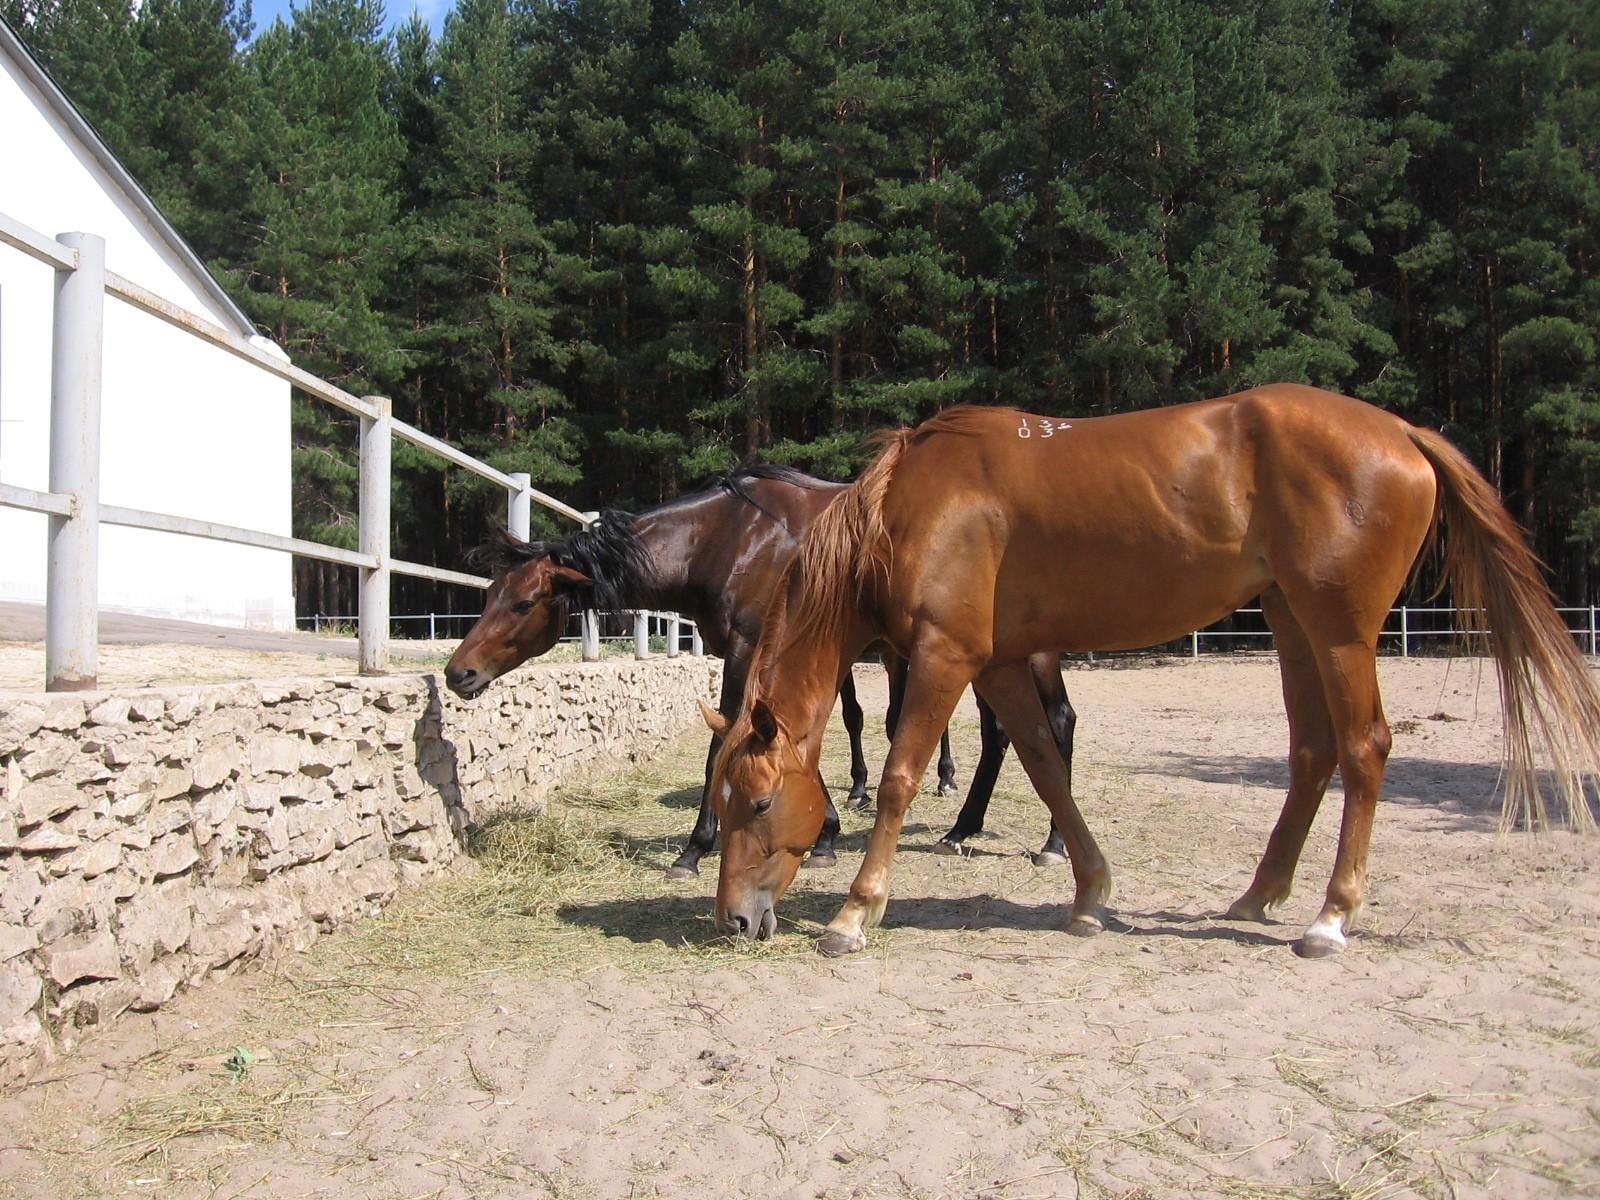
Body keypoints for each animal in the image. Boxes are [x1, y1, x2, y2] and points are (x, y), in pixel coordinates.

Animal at [438, 470, 1075, 883]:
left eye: (524, 603)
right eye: (489, 594)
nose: (456, 672)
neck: (728, 538)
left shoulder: (750, 652)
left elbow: (726, 744)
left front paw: (695, 850)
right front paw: (826, 832)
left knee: (1057, 722)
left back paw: (1053, 843)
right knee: (1001, 732)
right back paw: (963, 829)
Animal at [710, 390, 1600, 966]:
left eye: (757, 802)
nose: (733, 922)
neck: (915, 507)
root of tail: (1405, 435)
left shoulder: (944, 657)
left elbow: (899, 776)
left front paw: (856, 913)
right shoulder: (1000, 663)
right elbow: (1046, 769)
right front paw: (1090, 894)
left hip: (1341, 630)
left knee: (1364, 747)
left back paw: (1329, 918)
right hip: (1289, 619)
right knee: (1312, 751)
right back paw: (1258, 895)